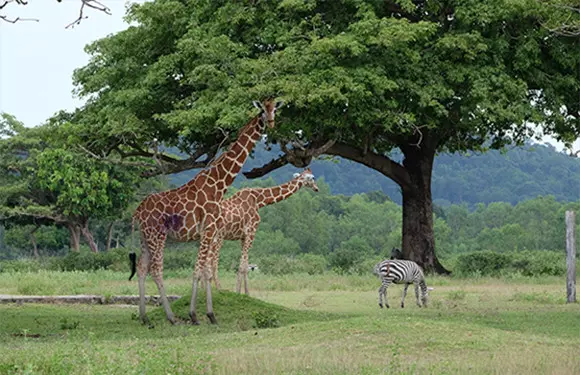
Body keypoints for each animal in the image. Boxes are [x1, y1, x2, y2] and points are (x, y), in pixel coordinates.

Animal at [129, 99, 284, 326]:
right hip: (157, 235)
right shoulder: (209, 230)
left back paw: (145, 317)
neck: (219, 185)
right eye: (263, 109)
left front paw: (210, 315)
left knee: (141, 268)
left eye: (275, 108)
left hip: (144, 237)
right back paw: (171, 317)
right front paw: (195, 315)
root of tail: (138, 211)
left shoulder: (209, 233)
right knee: (156, 270)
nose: (271, 122)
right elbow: (198, 270)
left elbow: (206, 271)